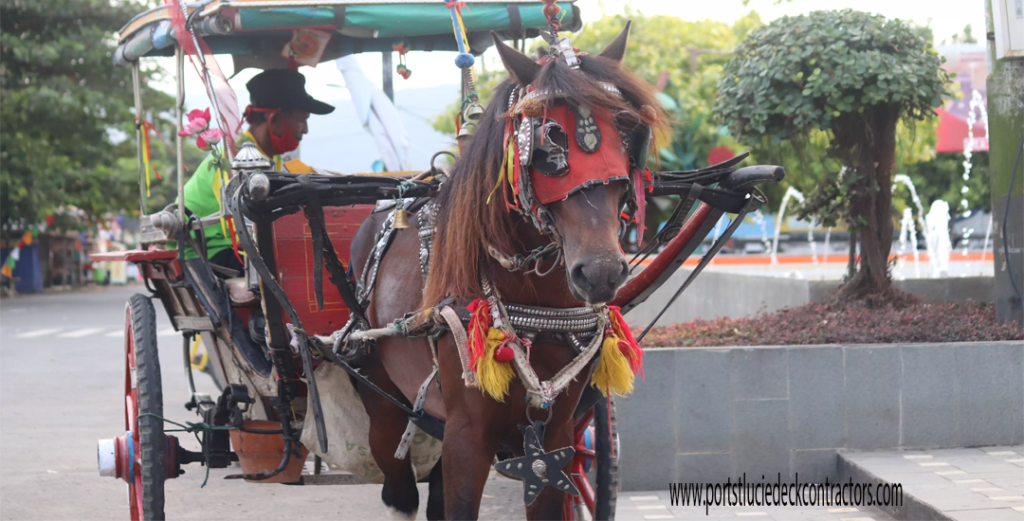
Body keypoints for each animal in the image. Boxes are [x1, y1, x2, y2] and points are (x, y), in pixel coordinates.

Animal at [346, 25, 663, 519]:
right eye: (549, 142)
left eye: (629, 131)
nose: (601, 272)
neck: (538, 306)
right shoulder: (466, 435)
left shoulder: (553, 444)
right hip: (381, 398)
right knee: (399, 488)